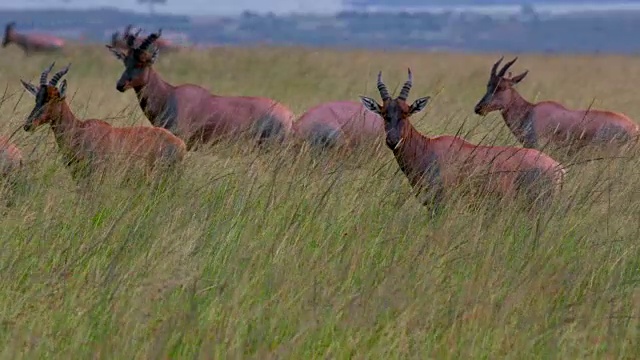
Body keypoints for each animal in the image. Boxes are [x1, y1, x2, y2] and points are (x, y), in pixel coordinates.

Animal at [360, 69, 564, 214]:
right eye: (384, 114)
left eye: (406, 113)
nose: (393, 141)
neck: (429, 148)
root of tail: (557, 168)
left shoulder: (441, 204)